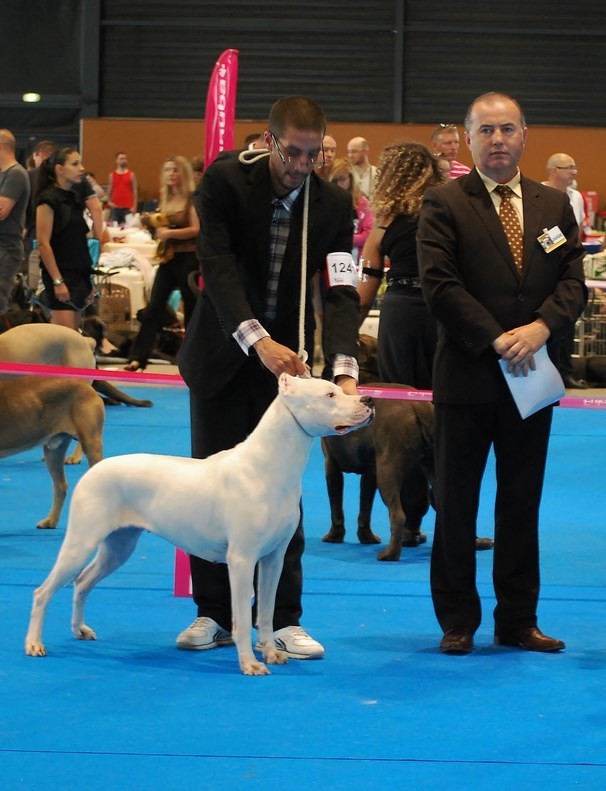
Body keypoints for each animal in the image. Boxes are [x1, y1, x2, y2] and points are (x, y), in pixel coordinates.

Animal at [25, 374, 374, 676]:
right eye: (329, 395)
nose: (368, 399)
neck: (270, 466)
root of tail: (94, 471)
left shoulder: (273, 558)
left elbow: (265, 611)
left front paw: (271, 652)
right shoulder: (242, 559)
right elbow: (242, 617)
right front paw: (250, 664)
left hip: (119, 546)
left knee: (82, 582)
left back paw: (79, 630)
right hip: (81, 541)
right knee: (44, 591)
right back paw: (34, 644)